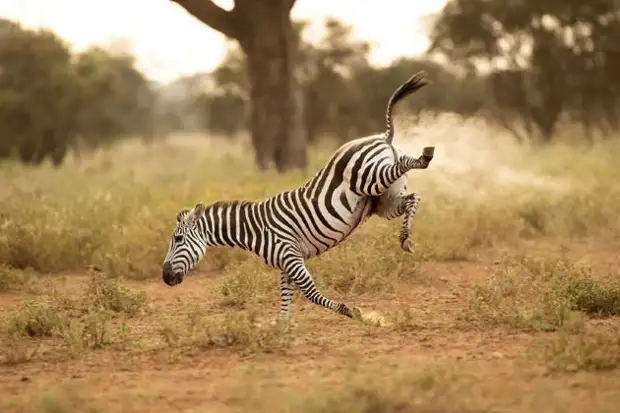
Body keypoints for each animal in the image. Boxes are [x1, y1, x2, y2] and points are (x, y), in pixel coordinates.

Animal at [162, 71, 434, 322]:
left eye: (178, 239)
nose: (165, 277)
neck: (252, 230)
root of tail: (380, 136)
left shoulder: (290, 256)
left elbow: (311, 294)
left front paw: (351, 311)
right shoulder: (286, 263)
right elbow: (285, 299)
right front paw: (280, 327)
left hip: (369, 178)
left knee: (406, 169)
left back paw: (426, 156)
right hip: (384, 200)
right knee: (413, 196)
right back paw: (405, 239)